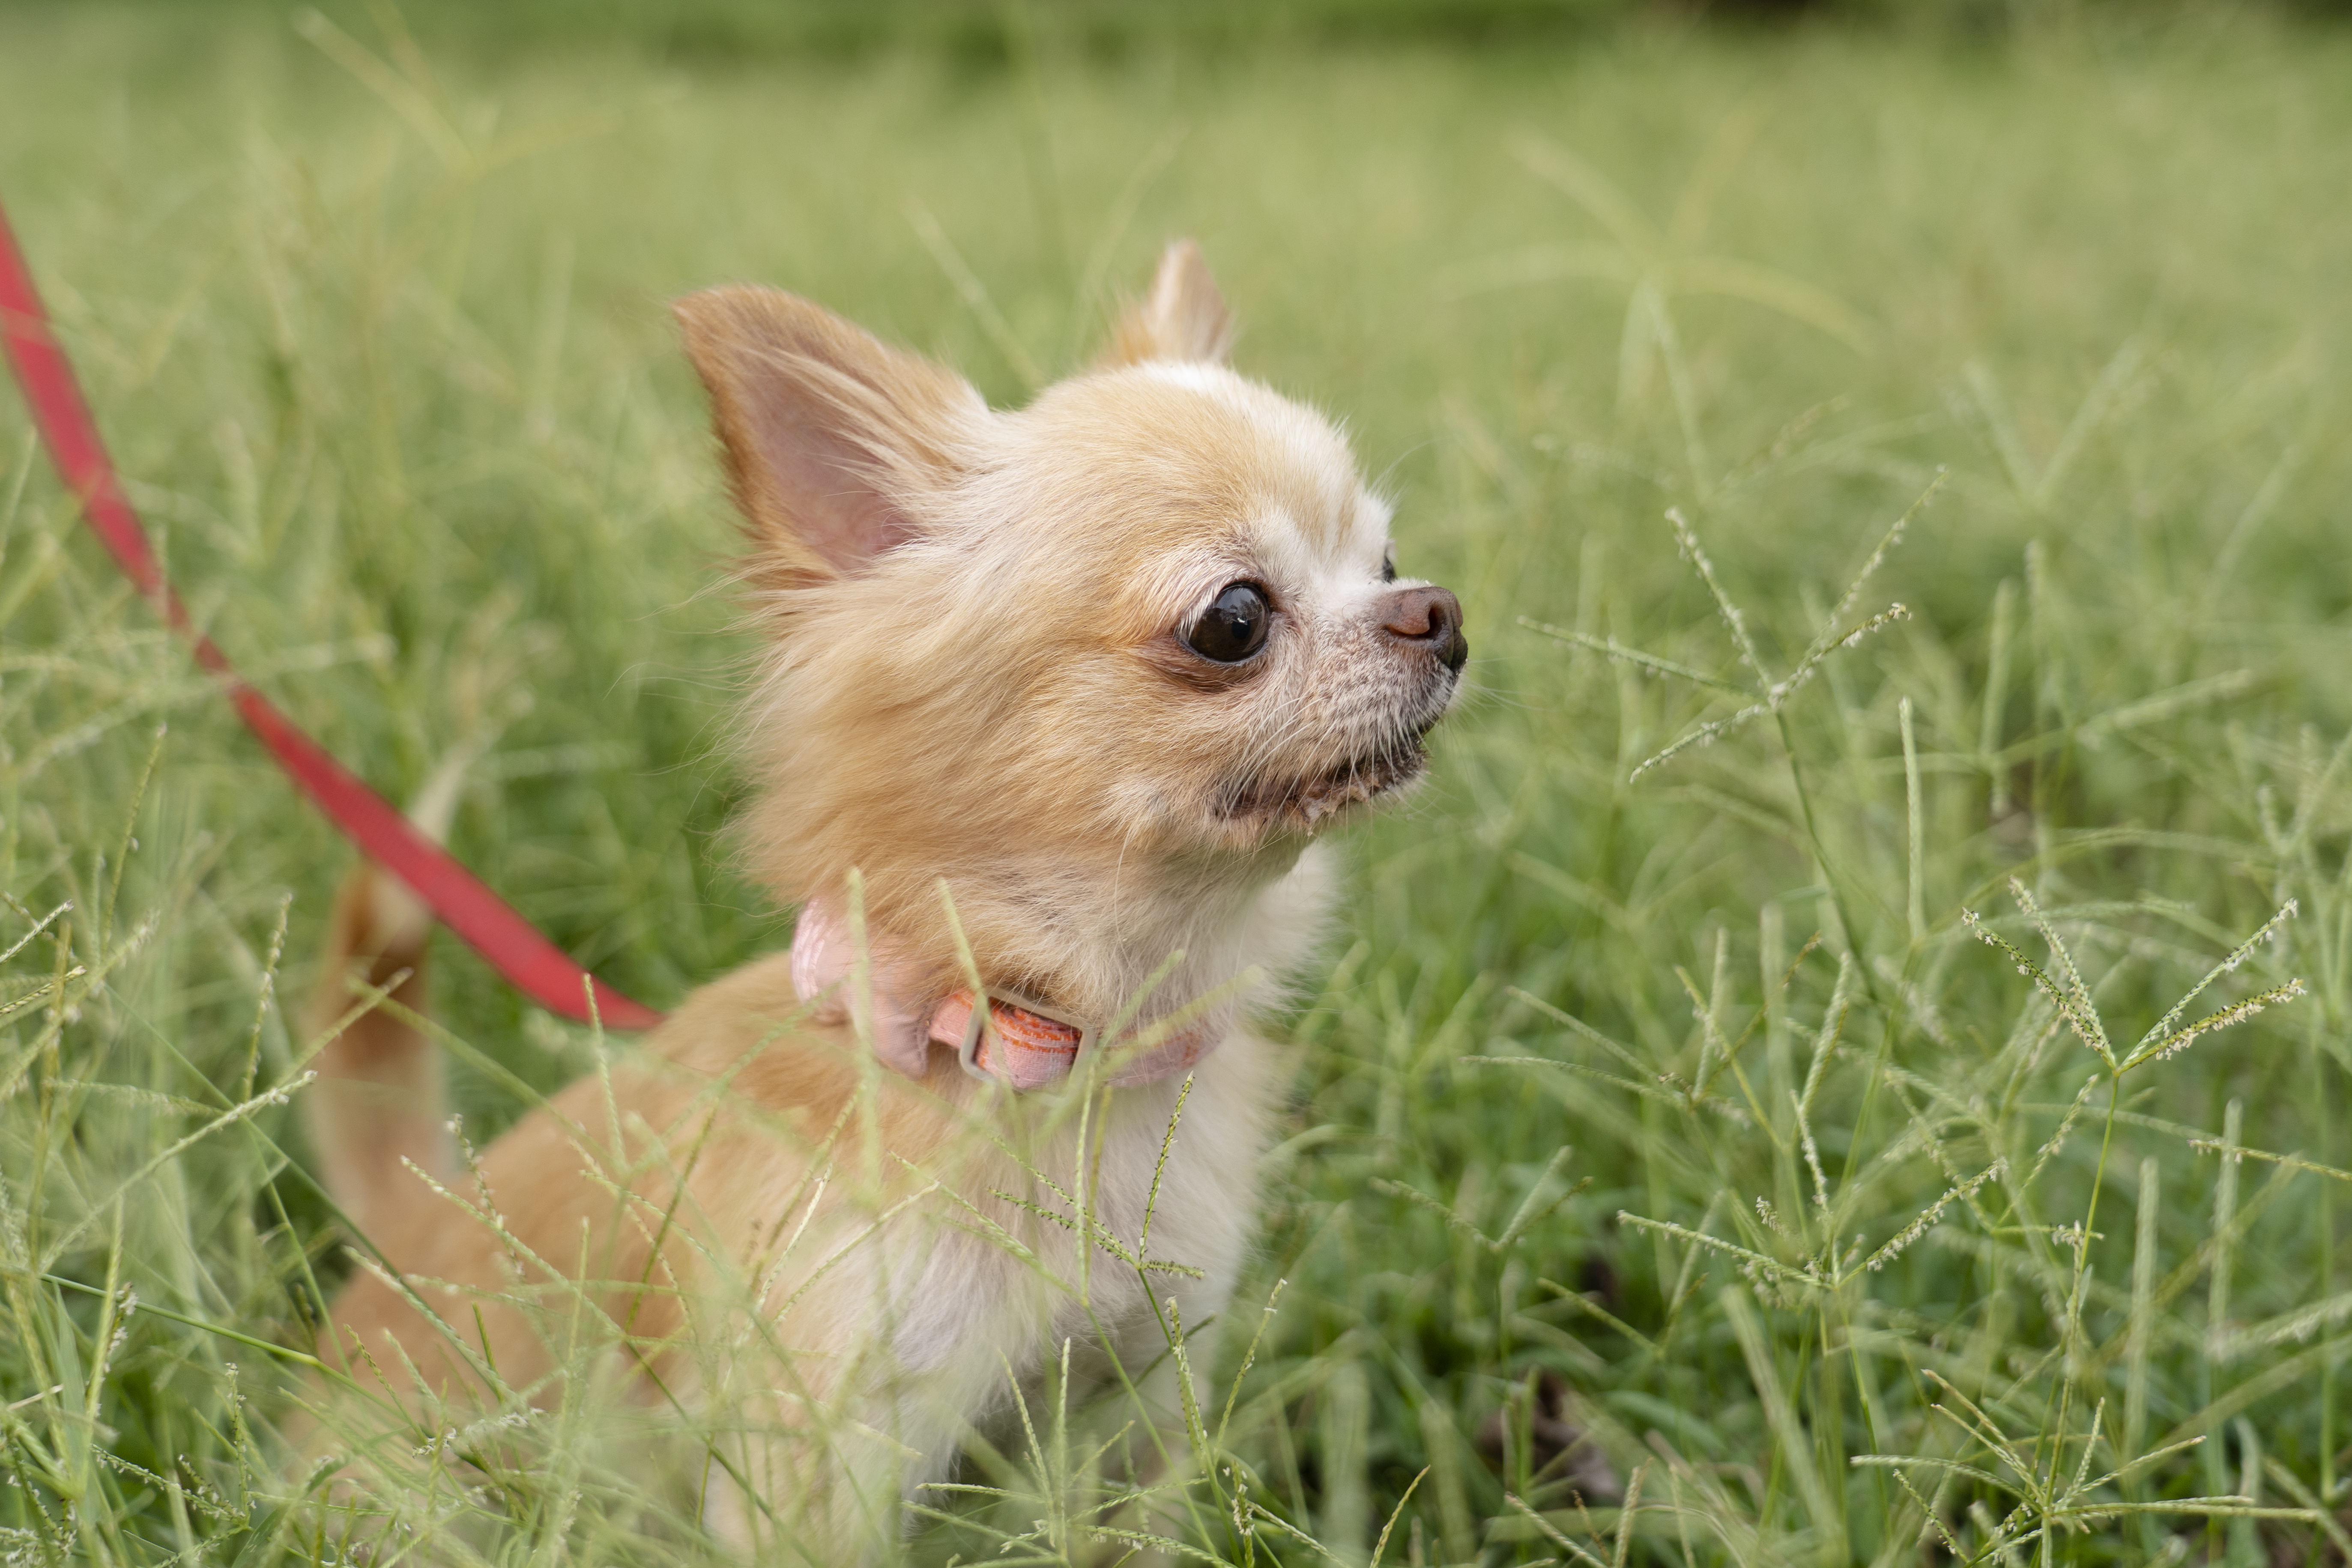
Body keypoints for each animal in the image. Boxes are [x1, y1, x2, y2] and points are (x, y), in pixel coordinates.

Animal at [303, 242, 1458, 1561]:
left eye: (1384, 562)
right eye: (1234, 619)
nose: (1439, 612)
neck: (1033, 1042)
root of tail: (411, 1231)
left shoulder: (1133, 1414)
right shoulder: (820, 1455)